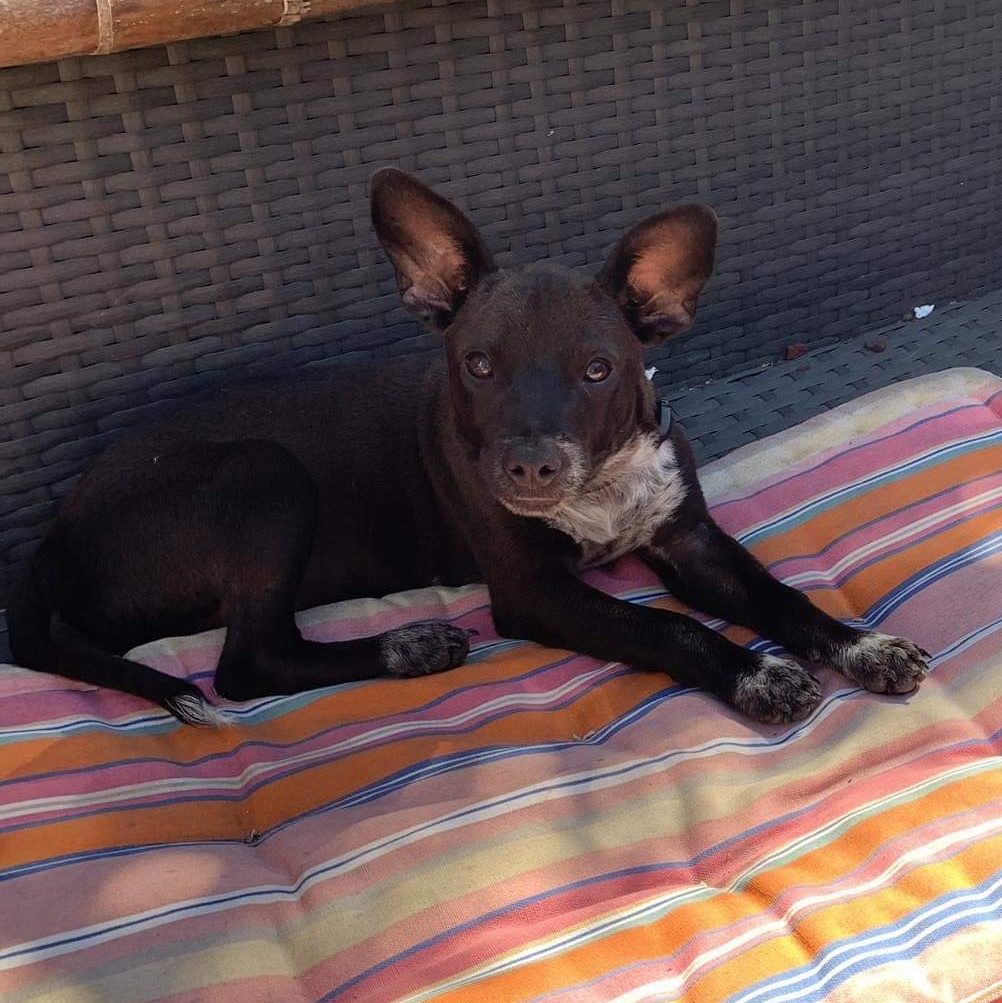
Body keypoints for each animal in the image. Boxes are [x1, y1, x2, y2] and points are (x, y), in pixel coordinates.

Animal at [9, 170, 930, 722]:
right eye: (477, 365)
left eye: (600, 370)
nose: (529, 464)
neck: (598, 487)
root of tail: (55, 535)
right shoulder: (533, 593)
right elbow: (668, 629)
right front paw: (755, 672)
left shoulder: (691, 540)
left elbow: (782, 596)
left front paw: (864, 645)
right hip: (266, 474)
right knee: (247, 663)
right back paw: (407, 646)